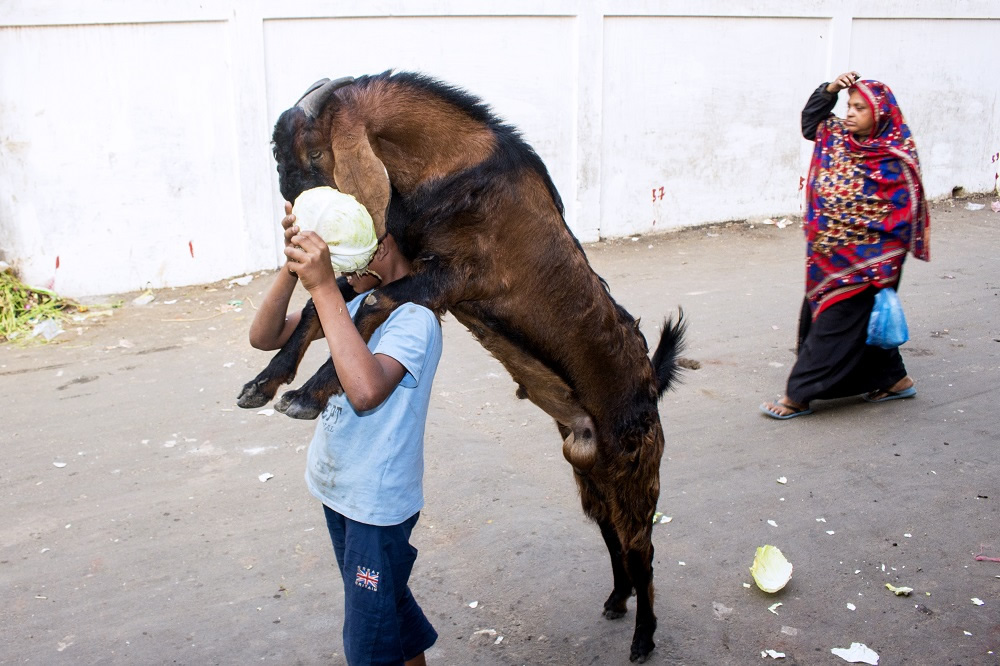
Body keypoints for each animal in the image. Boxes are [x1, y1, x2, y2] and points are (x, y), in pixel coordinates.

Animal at [238, 70, 684, 660]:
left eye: (314, 150)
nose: (294, 212)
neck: (455, 167)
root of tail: (649, 383)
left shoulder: (460, 275)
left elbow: (376, 303)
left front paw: (305, 396)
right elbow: (319, 307)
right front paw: (263, 384)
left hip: (638, 474)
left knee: (643, 549)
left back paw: (644, 636)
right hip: (590, 471)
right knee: (611, 534)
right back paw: (616, 600)